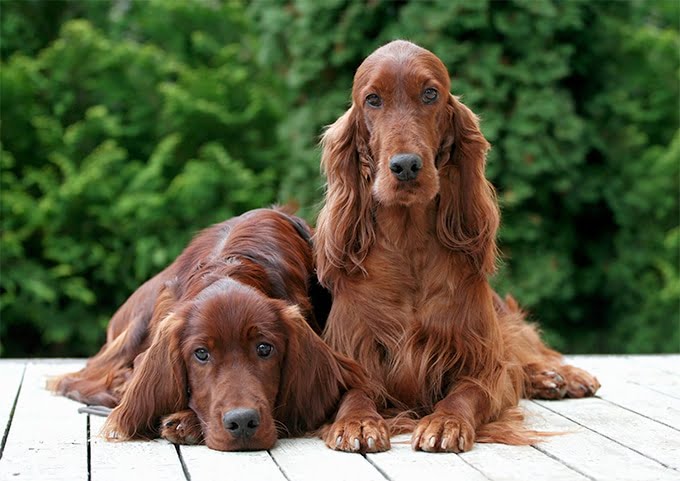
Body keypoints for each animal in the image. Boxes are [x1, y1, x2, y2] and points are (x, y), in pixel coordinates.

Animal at [49, 207, 388, 450]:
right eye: (201, 354)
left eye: (264, 348)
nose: (243, 423)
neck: (228, 267)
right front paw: (185, 419)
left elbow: (358, 388)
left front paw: (359, 423)